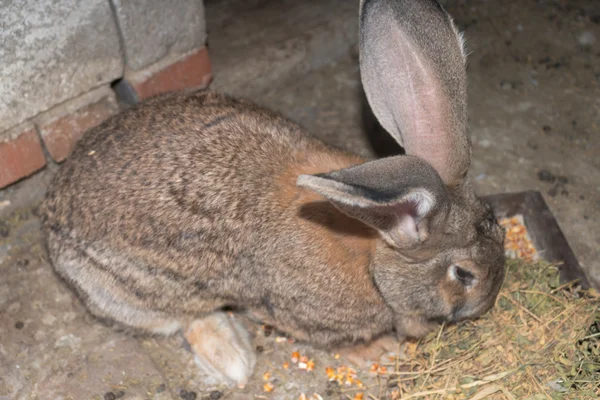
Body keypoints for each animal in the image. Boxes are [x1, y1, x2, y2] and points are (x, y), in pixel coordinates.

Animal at [39, 0, 504, 388]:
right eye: (464, 274)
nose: (487, 305)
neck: (372, 246)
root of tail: (50, 210)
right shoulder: (299, 313)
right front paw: (382, 350)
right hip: (132, 294)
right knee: (180, 319)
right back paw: (232, 358)